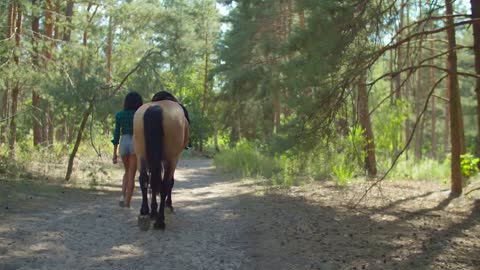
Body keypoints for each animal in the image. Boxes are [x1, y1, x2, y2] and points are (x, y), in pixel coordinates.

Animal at [134, 96, 190, 229]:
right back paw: (160, 220)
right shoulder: (172, 159)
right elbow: (169, 182)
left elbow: (154, 181)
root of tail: (156, 108)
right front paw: (168, 205)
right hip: (172, 158)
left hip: (141, 155)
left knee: (145, 179)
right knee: (165, 183)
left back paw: (146, 212)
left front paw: (153, 210)